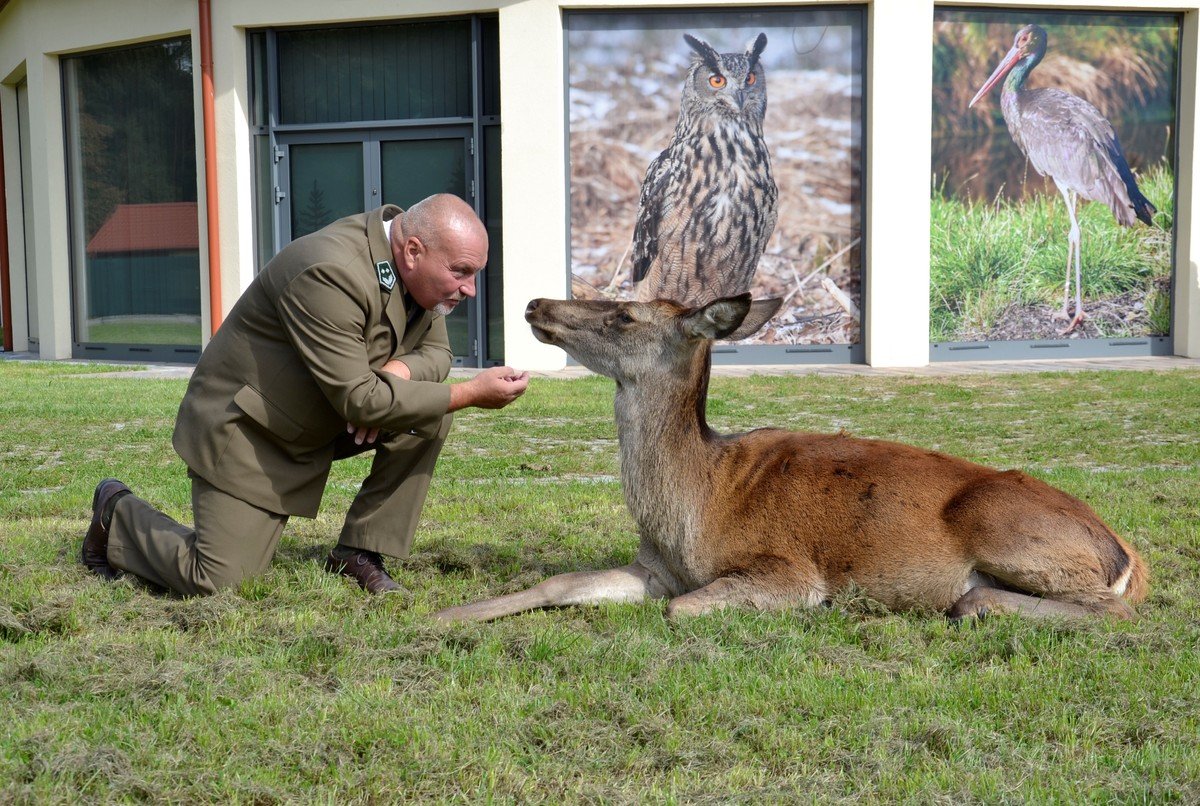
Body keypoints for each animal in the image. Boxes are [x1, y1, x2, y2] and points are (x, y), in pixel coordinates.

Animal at [436, 293, 1147, 623]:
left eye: (627, 315)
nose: (535, 303)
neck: (691, 509)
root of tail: (1127, 559)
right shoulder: (658, 569)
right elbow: (559, 585)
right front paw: (444, 616)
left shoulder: (788, 569)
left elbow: (681, 610)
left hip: (1012, 533)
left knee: (1097, 608)